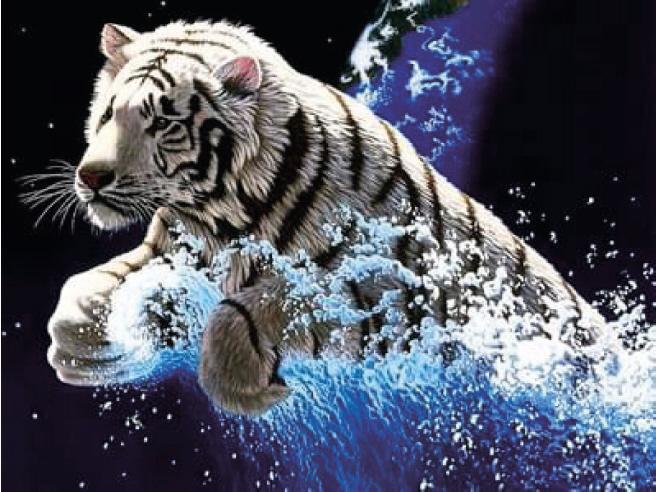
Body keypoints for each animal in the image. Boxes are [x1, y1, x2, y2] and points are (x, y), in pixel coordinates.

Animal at [46, 21, 609, 416]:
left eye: (163, 122)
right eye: (108, 114)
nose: (91, 176)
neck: (217, 215)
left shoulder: (386, 297)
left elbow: (253, 307)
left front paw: (253, 390)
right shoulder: (170, 250)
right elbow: (88, 285)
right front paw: (80, 344)